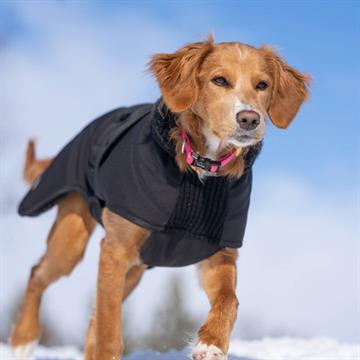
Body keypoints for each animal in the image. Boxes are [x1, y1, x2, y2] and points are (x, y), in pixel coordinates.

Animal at [10, 37, 310, 360]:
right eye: (219, 80)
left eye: (262, 85)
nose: (250, 119)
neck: (200, 166)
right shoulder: (115, 249)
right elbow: (109, 331)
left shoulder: (219, 253)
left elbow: (230, 299)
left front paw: (211, 342)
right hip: (72, 238)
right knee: (38, 274)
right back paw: (22, 340)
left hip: (135, 268)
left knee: (91, 318)